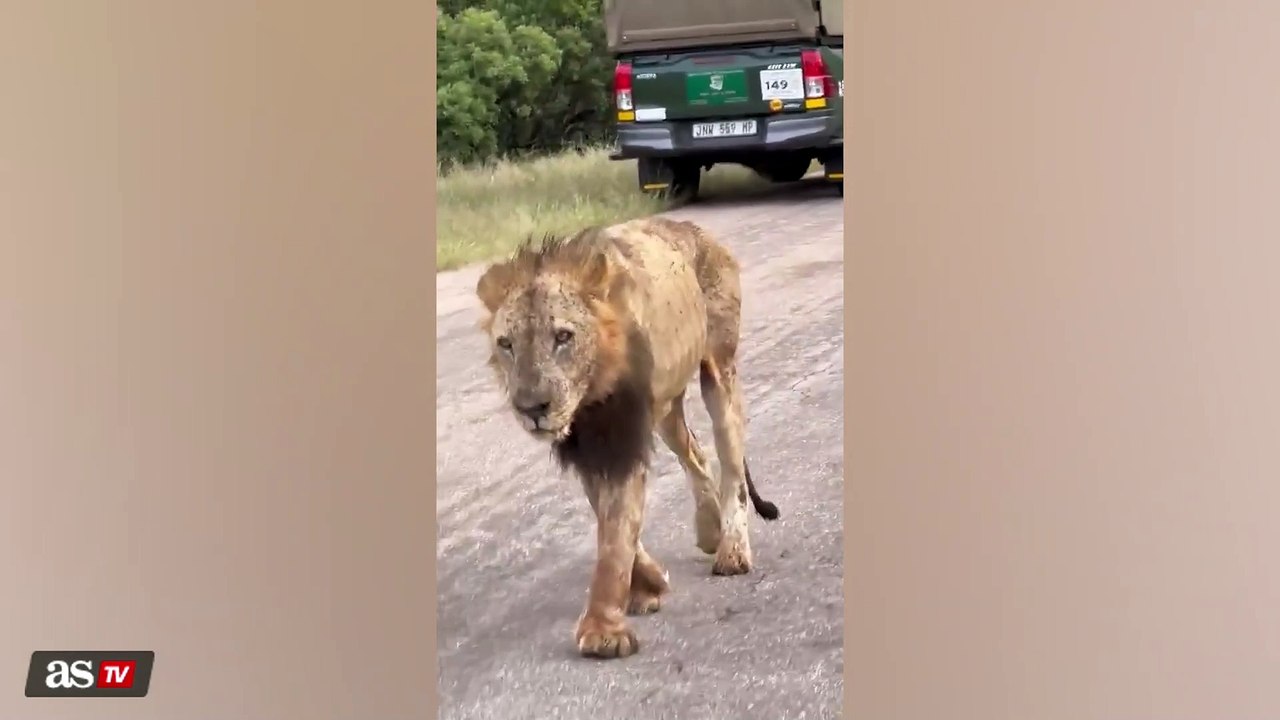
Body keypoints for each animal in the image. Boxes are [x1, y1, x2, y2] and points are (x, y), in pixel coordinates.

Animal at [474, 216, 779, 660]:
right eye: (506, 344)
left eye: (563, 337)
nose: (532, 408)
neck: (591, 392)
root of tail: (695, 228)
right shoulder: (587, 448)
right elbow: (611, 523)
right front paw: (648, 586)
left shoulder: (622, 439)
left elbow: (616, 534)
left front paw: (603, 631)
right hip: (666, 408)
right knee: (695, 453)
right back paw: (709, 530)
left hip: (719, 371)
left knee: (732, 466)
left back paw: (732, 551)